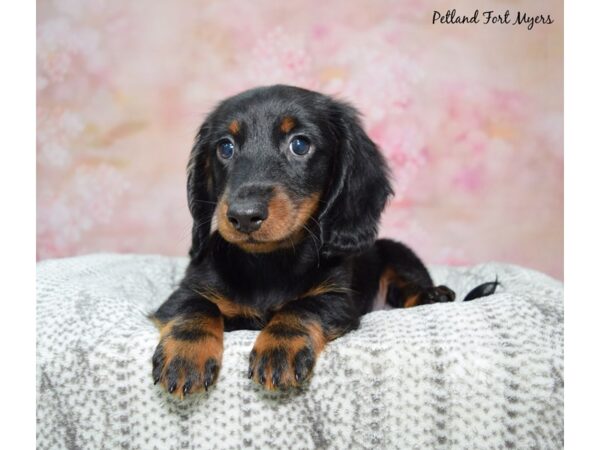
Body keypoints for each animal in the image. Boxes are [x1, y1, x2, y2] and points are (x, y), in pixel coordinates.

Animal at [151, 84, 496, 398]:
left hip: (398, 252)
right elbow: (196, 306)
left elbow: (301, 307)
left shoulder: (337, 299)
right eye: (225, 147)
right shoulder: (183, 292)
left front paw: (280, 348)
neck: (268, 263)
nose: (244, 216)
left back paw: (431, 295)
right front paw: (186, 355)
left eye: (300, 144)